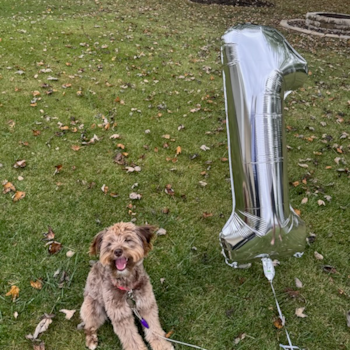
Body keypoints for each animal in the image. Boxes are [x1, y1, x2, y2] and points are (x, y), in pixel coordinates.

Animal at [81, 221, 175, 350]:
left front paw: (162, 345)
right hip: (92, 308)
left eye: (128, 239)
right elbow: (131, 339)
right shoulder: (121, 315)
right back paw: (91, 340)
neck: (128, 286)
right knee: (89, 326)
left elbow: (154, 330)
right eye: (109, 243)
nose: (117, 251)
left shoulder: (147, 305)